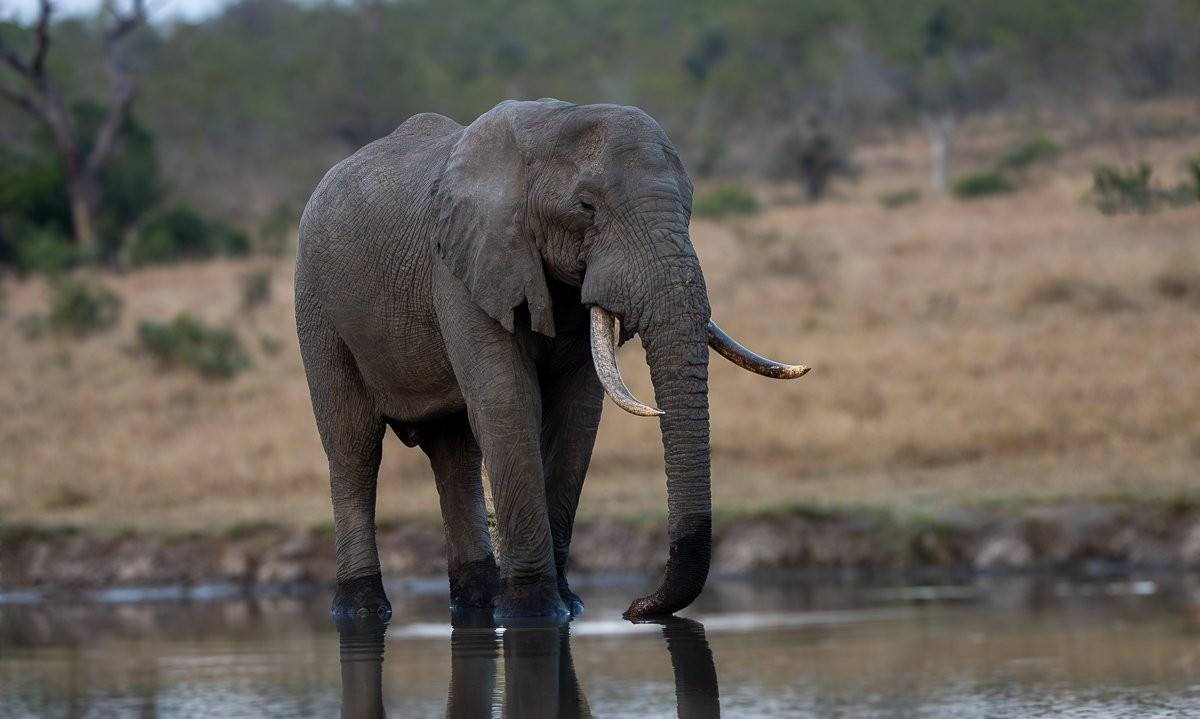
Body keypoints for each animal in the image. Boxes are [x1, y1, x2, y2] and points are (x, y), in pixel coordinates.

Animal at [296, 98, 808, 622]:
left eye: (690, 205)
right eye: (586, 208)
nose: (635, 608)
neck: (550, 125)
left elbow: (577, 412)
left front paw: (569, 607)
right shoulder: (462, 268)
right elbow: (507, 402)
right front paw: (533, 612)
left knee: (456, 454)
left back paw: (479, 602)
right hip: (316, 306)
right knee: (353, 446)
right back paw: (362, 609)